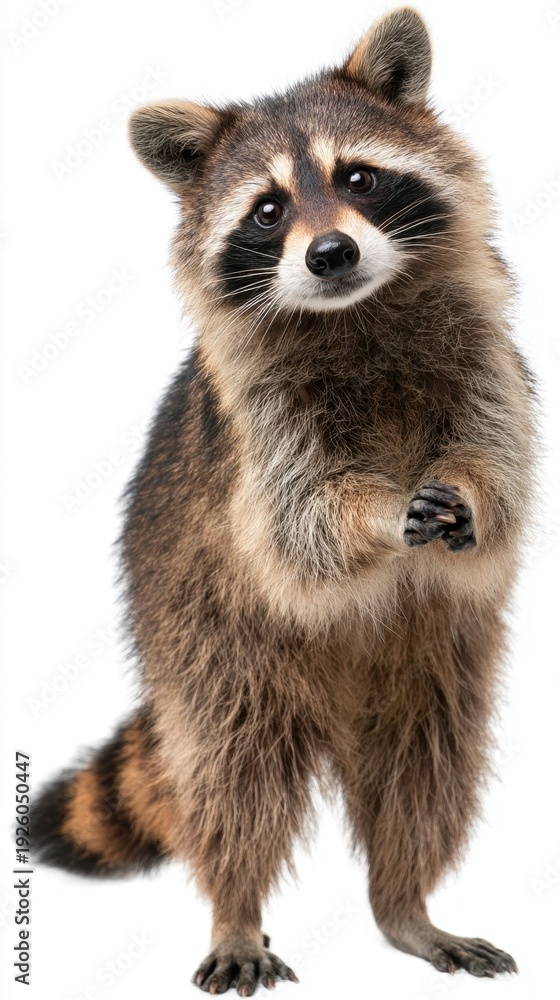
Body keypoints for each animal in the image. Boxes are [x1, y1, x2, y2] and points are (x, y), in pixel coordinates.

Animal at [33, 7, 534, 994]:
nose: (330, 252)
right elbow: (299, 525)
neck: (359, 312)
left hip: (436, 670)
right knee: (235, 781)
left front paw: (469, 491)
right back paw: (236, 909)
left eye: (359, 178)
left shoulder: (492, 358)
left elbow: (506, 468)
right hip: (208, 641)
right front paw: (372, 515)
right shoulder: (256, 432)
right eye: (267, 209)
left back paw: (403, 903)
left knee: (426, 775)